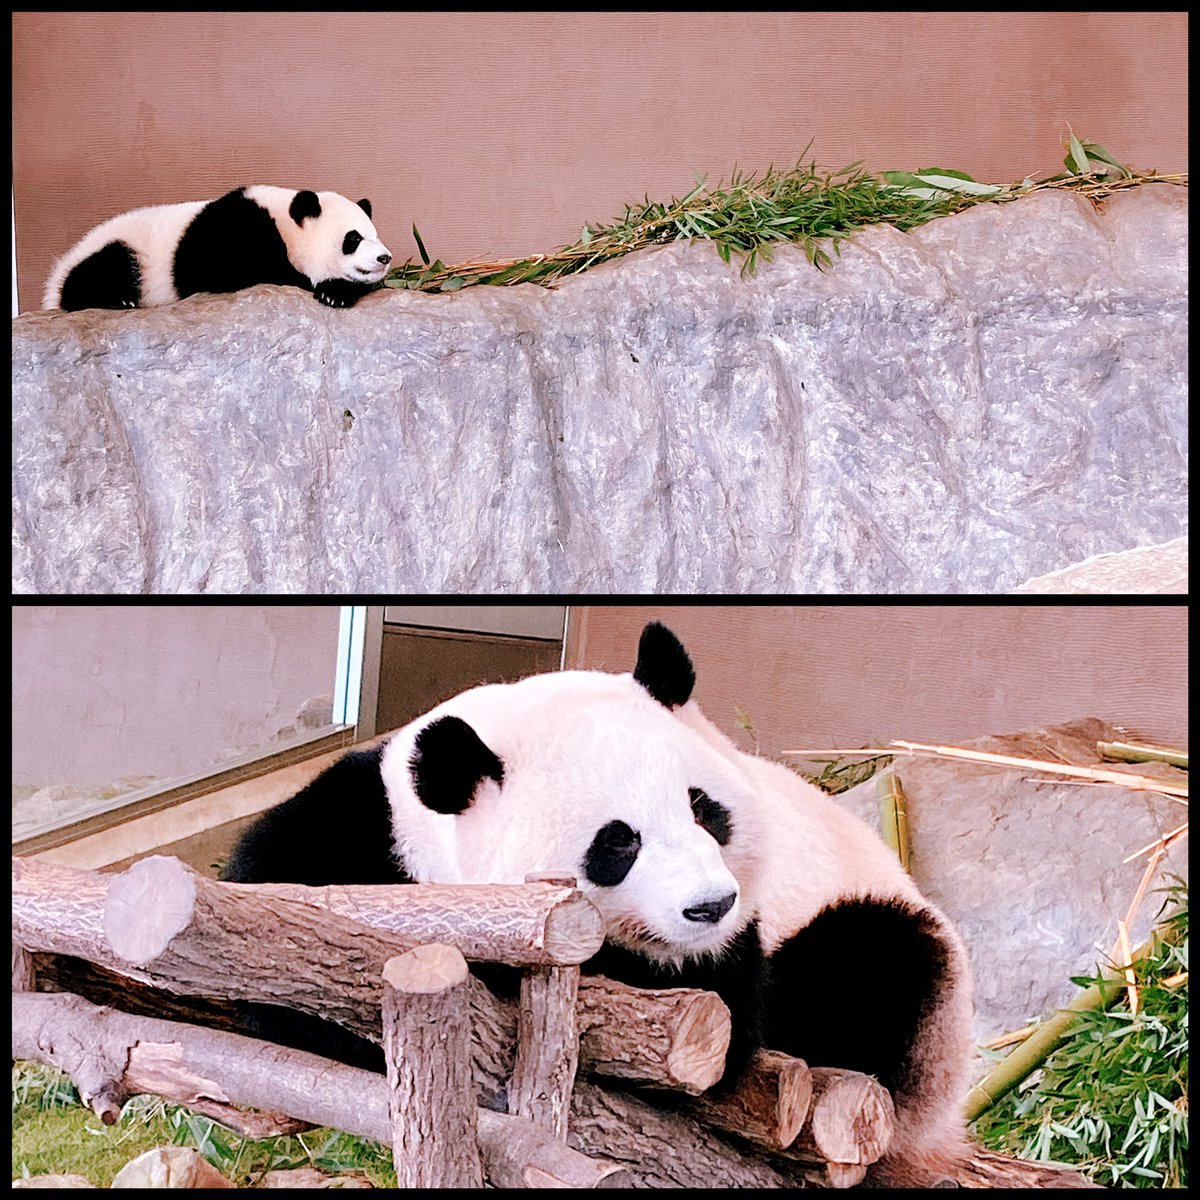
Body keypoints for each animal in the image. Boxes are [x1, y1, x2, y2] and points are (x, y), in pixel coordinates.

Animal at [39, 184, 388, 312]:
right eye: (353, 239)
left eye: (375, 234)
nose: (385, 257)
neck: (284, 223)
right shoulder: (229, 233)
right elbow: (240, 272)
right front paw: (327, 287)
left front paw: (338, 292)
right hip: (120, 248)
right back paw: (117, 299)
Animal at [225, 624, 974, 1185]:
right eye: (617, 842)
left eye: (705, 810)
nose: (711, 906)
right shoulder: (366, 819)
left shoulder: (735, 951)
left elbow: (717, 1019)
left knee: (876, 964)